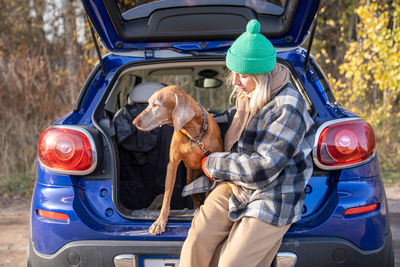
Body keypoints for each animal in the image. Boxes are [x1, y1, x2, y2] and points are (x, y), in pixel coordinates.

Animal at [132, 85, 223, 234]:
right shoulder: (172, 164)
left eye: (156, 105)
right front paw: (160, 222)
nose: (134, 122)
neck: (193, 135)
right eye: (148, 103)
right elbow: (167, 196)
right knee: (195, 197)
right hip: (189, 178)